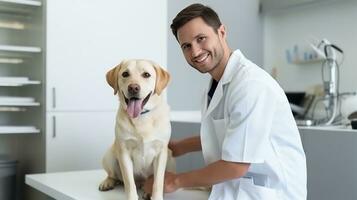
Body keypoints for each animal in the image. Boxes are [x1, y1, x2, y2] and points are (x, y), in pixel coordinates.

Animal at [99, 59, 175, 200]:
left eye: (146, 75)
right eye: (125, 74)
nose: (133, 88)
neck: (141, 118)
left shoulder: (161, 152)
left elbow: (158, 181)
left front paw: (156, 196)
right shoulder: (124, 152)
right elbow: (129, 182)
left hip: (171, 157)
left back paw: (147, 191)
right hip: (109, 155)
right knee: (114, 176)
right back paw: (108, 182)